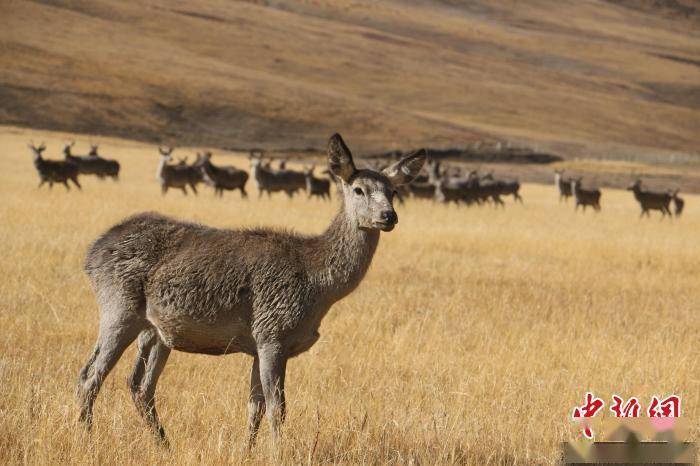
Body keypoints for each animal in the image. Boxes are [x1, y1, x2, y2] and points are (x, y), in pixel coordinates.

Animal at [76, 132, 426, 448]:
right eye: (358, 189)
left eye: (393, 190)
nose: (388, 216)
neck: (319, 286)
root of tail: (91, 255)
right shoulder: (273, 331)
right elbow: (277, 408)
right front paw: (277, 452)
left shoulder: (259, 341)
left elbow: (254, 406)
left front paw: (248, 449)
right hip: (118, 307)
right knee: (90, 374)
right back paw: (86, 438)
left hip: (157, 330)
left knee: (139, 386)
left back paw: (163, 444)